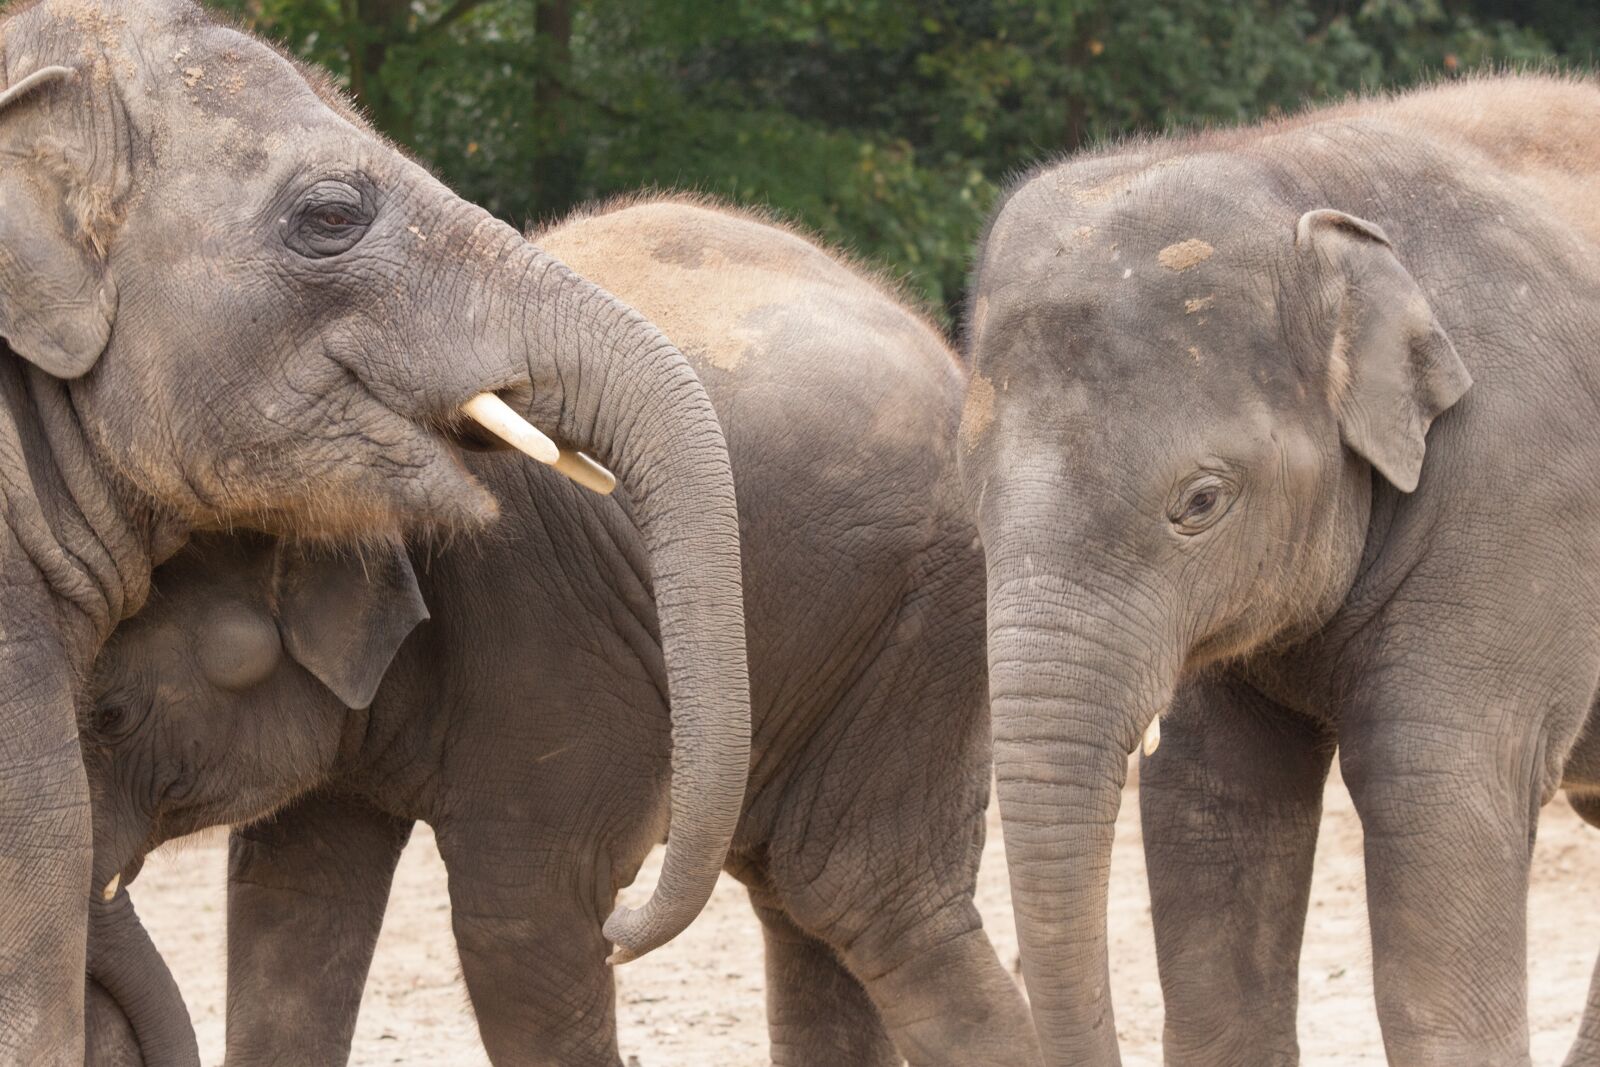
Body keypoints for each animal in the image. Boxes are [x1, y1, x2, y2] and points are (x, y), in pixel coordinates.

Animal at [81, 197, 1043, 1067]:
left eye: (110, 717)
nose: (623, 928)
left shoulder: (543, 629)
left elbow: (522, 920)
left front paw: (586, 922)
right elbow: (291, 900)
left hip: (918, 629)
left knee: (867, 902)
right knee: (805, 908)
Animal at [958, 73, 1600, 1066]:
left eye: (1200, 502)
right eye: (972, 504)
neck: (1292, 166)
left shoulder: (1527, 486)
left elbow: (1437, 790)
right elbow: (1215, 798)